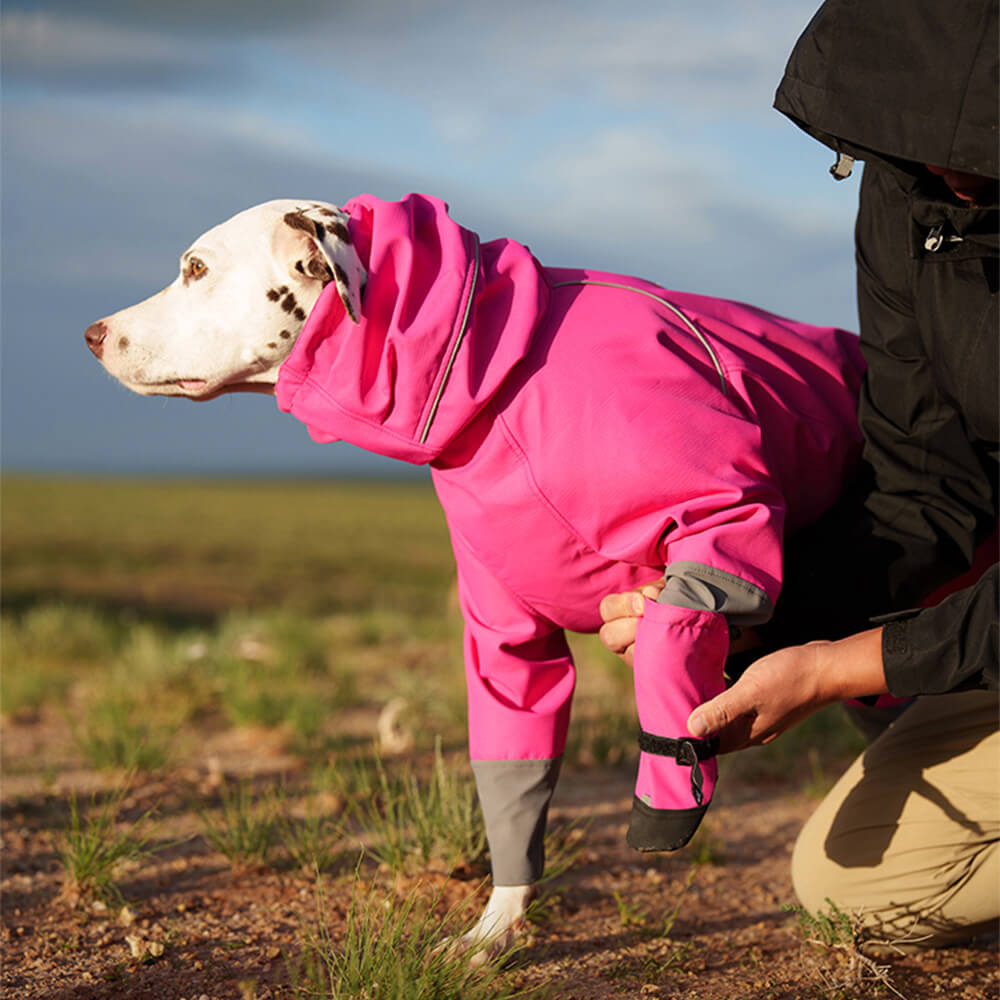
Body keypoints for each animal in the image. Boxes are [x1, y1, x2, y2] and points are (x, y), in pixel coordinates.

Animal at [88, 193, 868, 960]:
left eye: (196, 268)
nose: (94, 333)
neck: (496, 383)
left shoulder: (719, 533)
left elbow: (670, 651)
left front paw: (664, 809)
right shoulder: (503, 631)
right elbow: (514, 762)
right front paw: (497, 928)